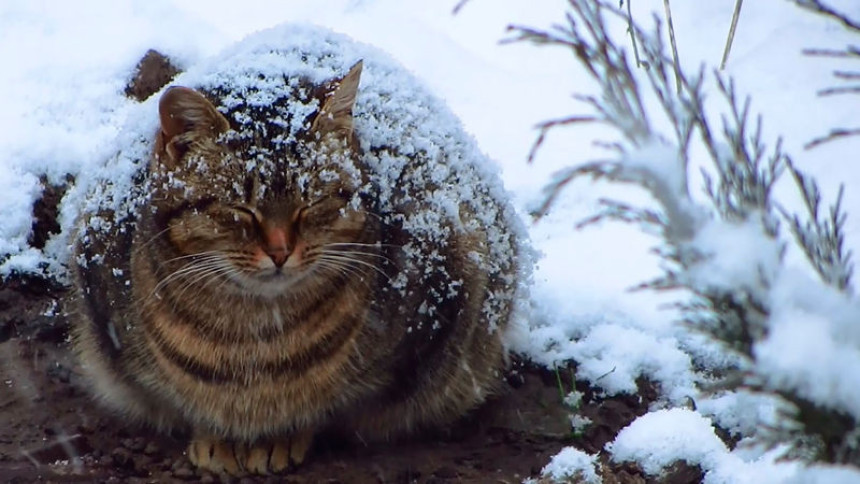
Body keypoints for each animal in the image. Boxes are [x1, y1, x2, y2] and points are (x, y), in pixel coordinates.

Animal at [72, 25, 524, 476]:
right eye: (241, 208)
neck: (252, 342)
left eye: (312, 202)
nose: (280, 250)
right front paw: (217, 437)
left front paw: (277, 438)